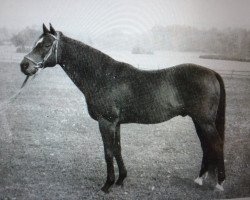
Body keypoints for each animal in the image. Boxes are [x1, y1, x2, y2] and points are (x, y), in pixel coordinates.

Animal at [20, 23, 226, 194]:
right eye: (36, 42)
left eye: (47, 45)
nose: (24, 65)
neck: (102, 76)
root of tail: (212, 72)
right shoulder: (116, 123)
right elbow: (118, 149)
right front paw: (120, 180)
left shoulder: (107, 122)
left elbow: (108, 152)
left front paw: (107, 185)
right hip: (198, 121)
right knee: (206, 145)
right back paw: (199, 179)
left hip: (204, 122)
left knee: (216, 144)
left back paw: (219, 183)